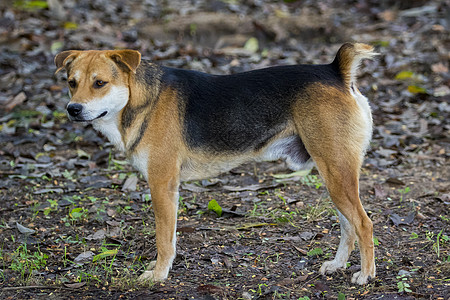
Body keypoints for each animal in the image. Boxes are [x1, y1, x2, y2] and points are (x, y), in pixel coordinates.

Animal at [54, 42, 378, 284]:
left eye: (100, 83)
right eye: (71, 83)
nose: (73, 109)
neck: (141, 100)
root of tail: (335, 71)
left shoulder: (162, 185)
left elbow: (164, 240)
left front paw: (158, 275)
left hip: (336, 175)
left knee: (363, 223)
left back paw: (365, 275)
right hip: (334, 176)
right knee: (348, 225)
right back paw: (337, 265)